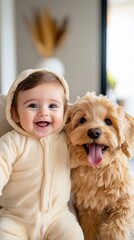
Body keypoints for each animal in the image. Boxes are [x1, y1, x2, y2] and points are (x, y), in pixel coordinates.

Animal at [65, 92, 134, 240]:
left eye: (108, 121)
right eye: (82, 120)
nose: (94, 132)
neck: (98, 170)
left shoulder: (127, 201)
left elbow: (117, 225)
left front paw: (111, 234)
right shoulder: (88, 207)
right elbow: (89, 229)